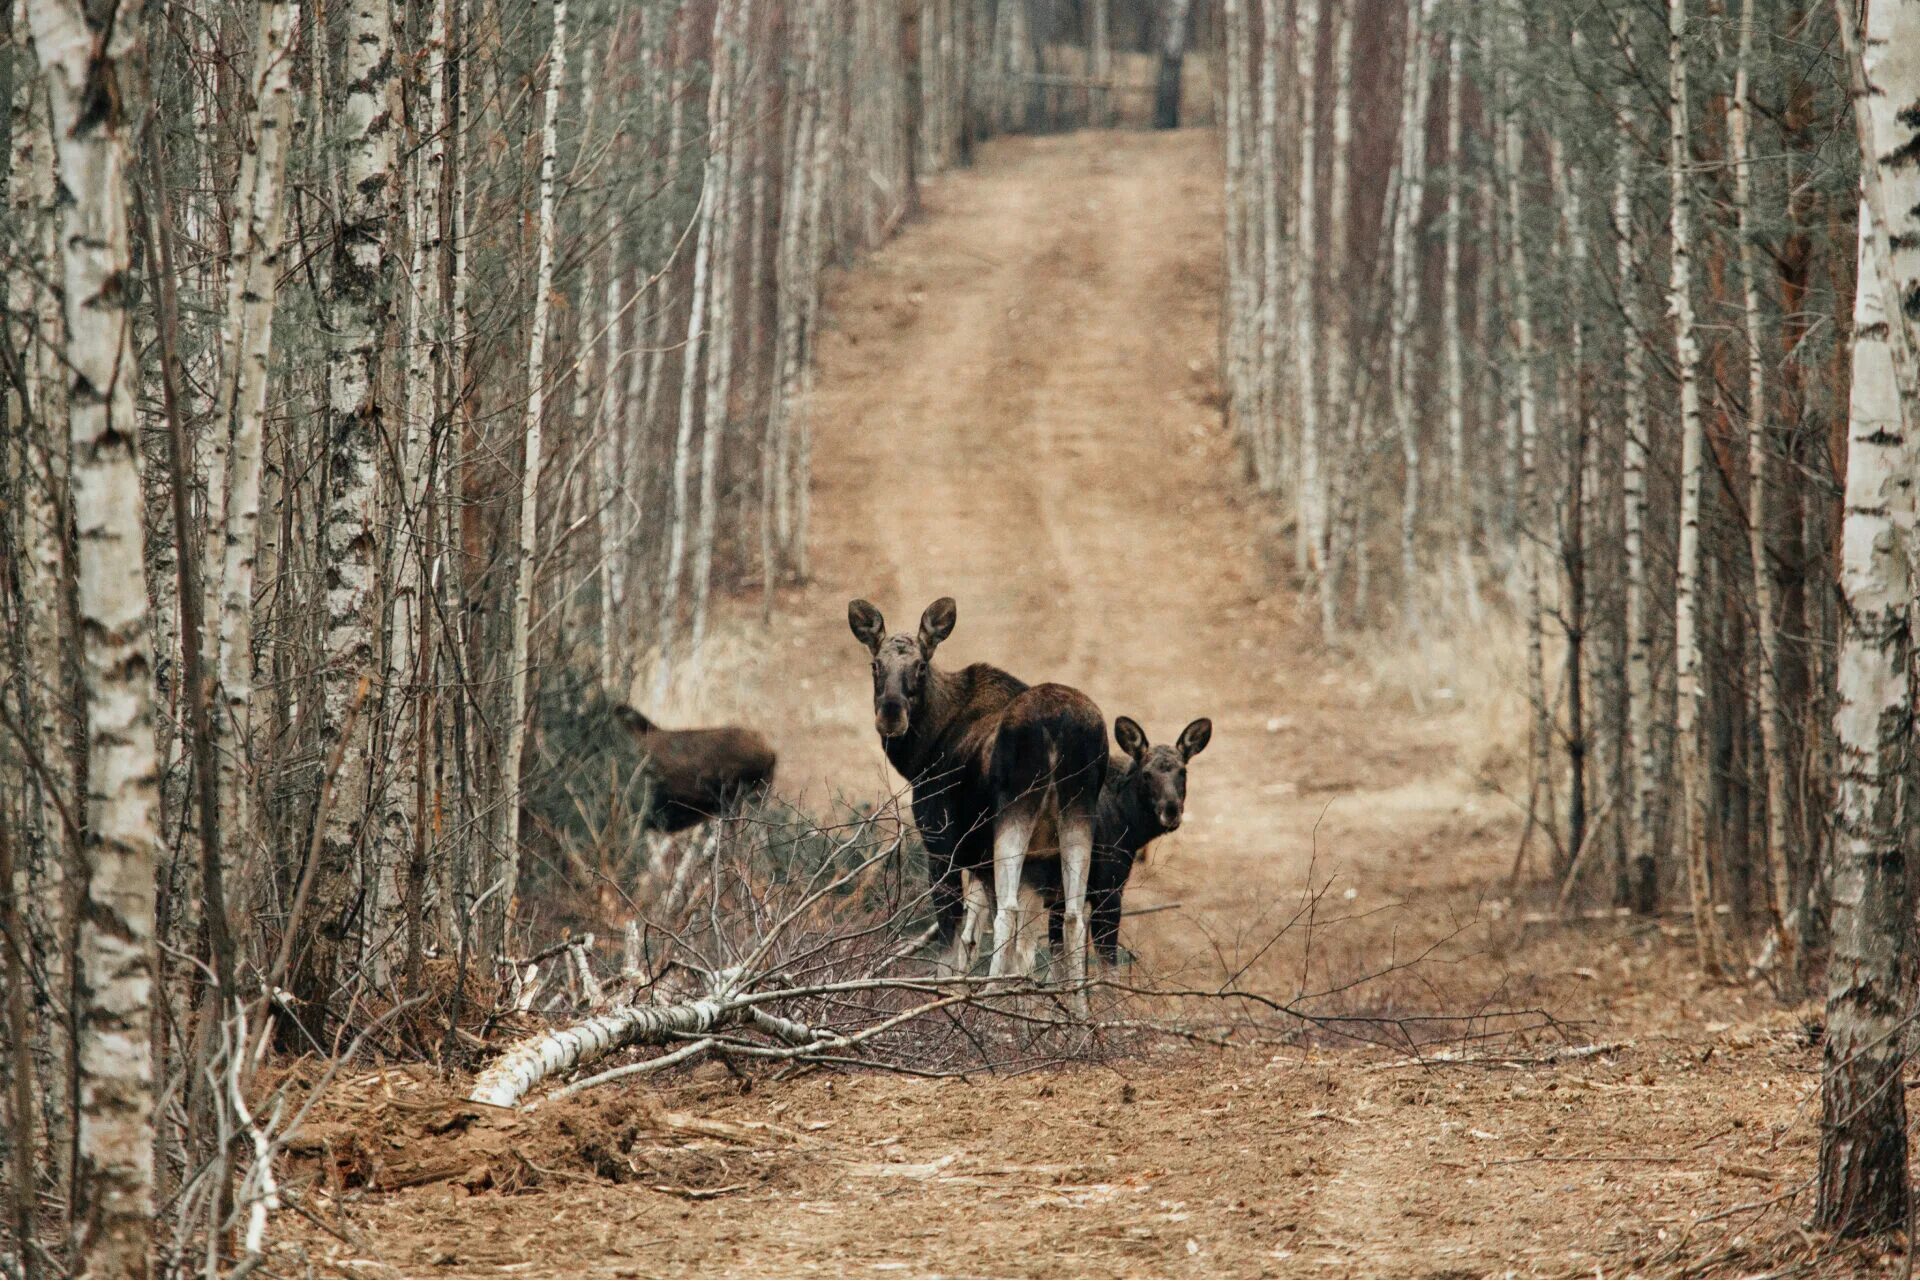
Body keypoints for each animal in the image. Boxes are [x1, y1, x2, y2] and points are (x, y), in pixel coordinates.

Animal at [844, 595, 1105, 1006]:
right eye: (875, 664)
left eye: (921, 666)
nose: (891, 715)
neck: (922, 753)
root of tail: (1060, 726)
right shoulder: (1003, 861)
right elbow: (981, 941)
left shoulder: (942, 844)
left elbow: (951, 942)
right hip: (1076, 817)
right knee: (1074, 917)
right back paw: (1079, 1016)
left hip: (1014, 814)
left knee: (1009, 914)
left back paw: (991, 998)